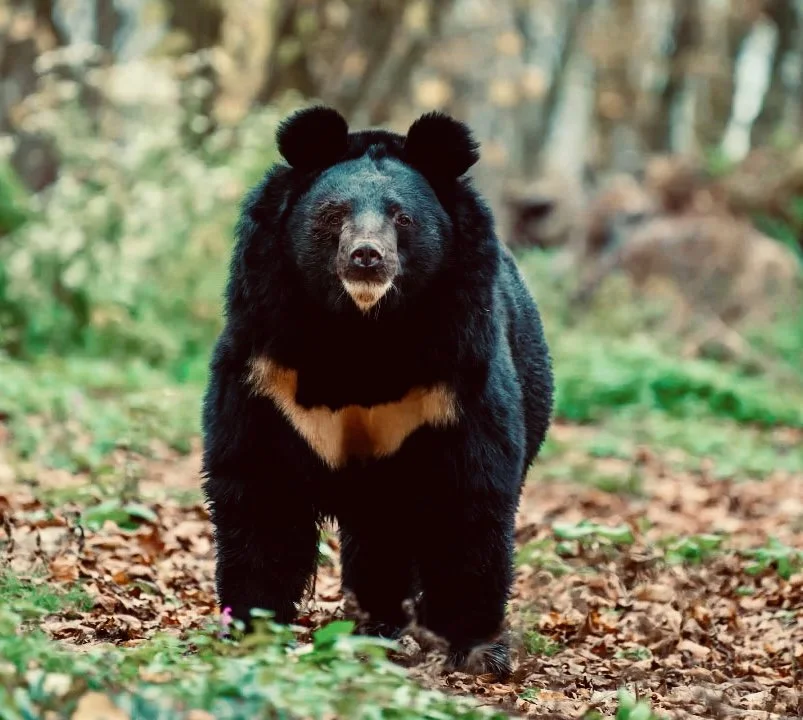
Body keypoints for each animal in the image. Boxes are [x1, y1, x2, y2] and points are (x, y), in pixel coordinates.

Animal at [201, 106, 554, 678]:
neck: (363, 333)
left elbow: (468, 498)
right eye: (332, 214)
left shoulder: (454, 375)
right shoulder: (267, 367)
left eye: (403, 218)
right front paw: (252, 626)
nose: (366, 257)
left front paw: (477, 651)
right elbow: (262, 490)